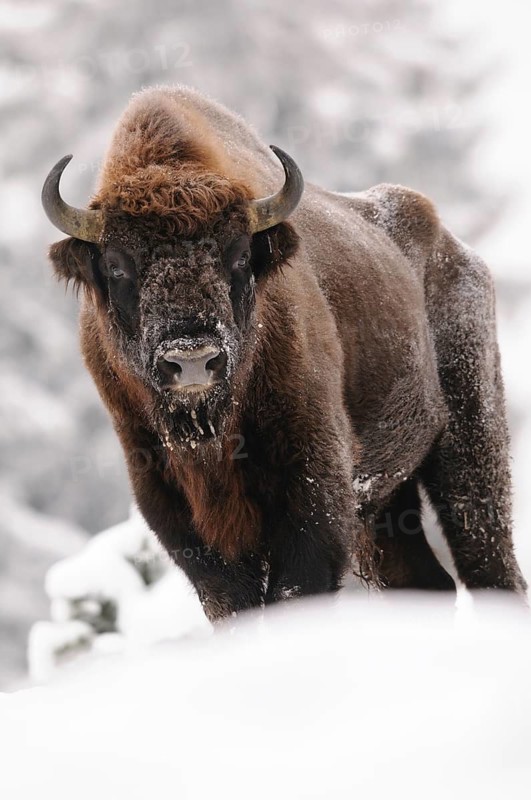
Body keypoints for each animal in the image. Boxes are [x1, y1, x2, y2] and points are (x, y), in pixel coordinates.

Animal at [42, 86, 526, 620]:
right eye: (116, 264)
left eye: (237, 255)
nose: (192, 358)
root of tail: (455, 250)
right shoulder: (171, 504)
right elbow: (230, 600)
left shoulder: (314, 484)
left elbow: (296, 586)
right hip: (387, 504)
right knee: (426, 579)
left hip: (470, 444)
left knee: (488, 562)